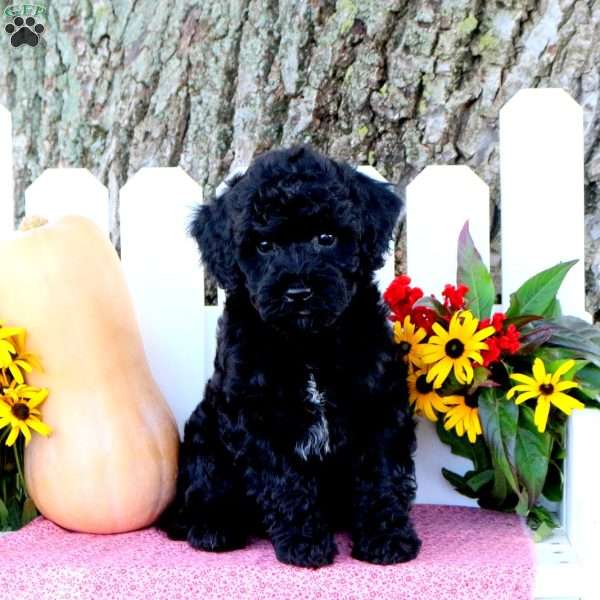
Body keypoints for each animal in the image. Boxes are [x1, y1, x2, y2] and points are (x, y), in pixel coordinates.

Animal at [159, 145, 422, 568]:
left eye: (326, 238)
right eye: (264, 247)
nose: (298, 292)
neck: (307, 343)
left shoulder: (379, 405)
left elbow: (381, 474)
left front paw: (387, 537)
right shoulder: (254, 416)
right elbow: (285, 482)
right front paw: (304, 543)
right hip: (205, 433)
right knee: (201, 491)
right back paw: (213, 527)